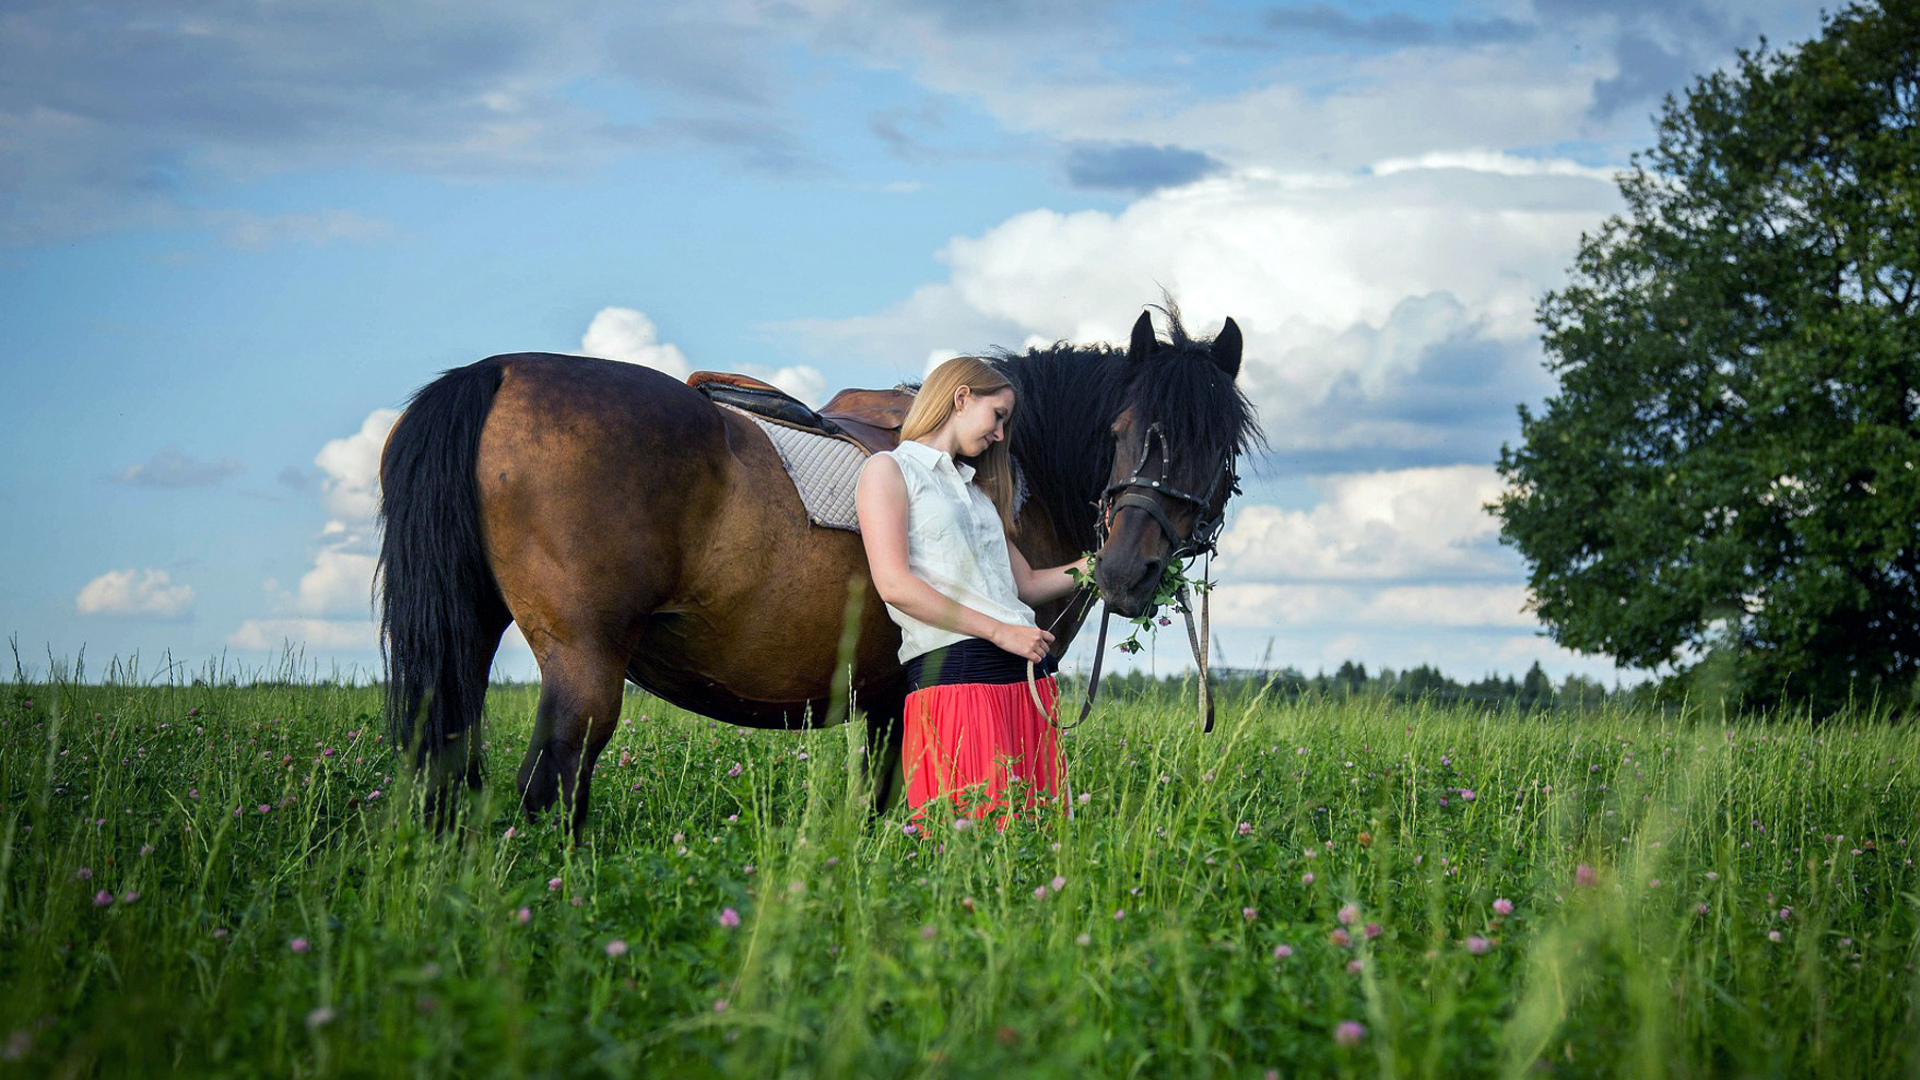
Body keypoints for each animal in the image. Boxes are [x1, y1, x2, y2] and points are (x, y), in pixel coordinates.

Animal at [382, 305, 1267, 834]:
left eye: (1220, 444)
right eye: (1120, 429)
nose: (1124, 571)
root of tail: (499, 372)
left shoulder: (882, 698)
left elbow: (872, 805)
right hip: (584, 665)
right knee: (553, 784)